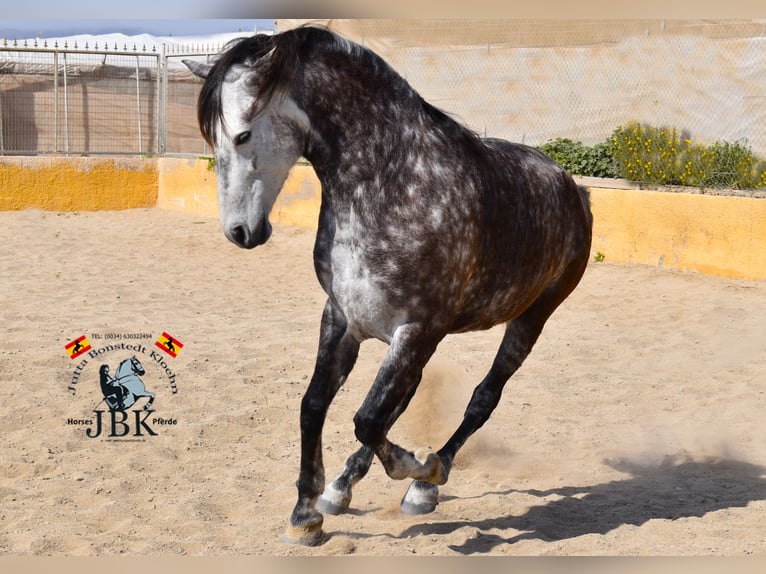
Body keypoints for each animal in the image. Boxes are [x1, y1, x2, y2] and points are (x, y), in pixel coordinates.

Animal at [186, 25, 592, 548]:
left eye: (242, 133)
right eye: (212, 138)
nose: (240, 232)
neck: (393, 185)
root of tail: (574, 189)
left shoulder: (416, 329)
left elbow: (368, 419)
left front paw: (421, 466)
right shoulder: (343, 320)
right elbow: (317, 407)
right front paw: (306, 515)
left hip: (529, 320)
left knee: (481, 399)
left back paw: (426, 485)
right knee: (398, 403)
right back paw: (342, 488)